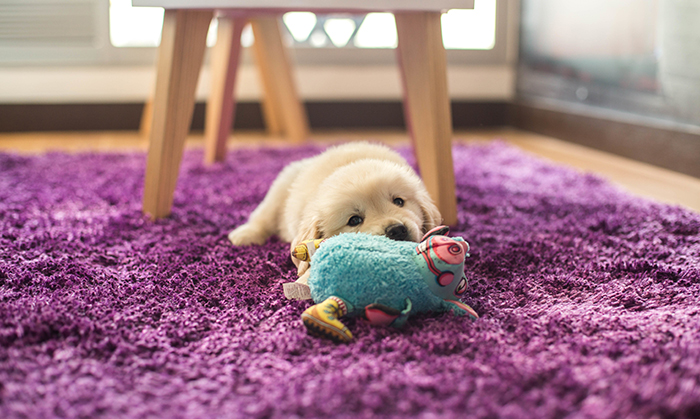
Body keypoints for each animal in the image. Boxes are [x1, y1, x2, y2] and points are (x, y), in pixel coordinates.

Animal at [227, 143, 440, 278]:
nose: (396, 230)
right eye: (354, 220)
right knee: (263, 216)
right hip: (280, 187)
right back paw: (245, 235)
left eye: (399, 201)